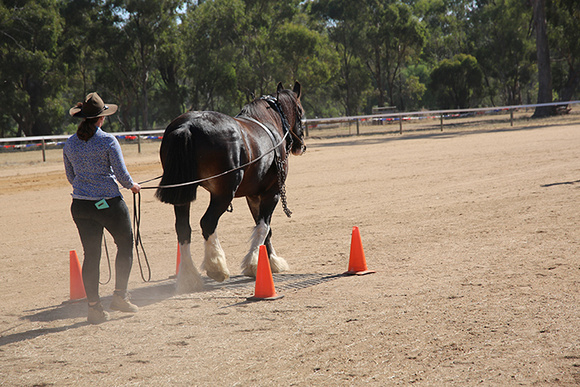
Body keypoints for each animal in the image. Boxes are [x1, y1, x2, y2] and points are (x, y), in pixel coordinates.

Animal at [154, 82, 308, 294]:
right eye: (300, 110)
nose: (301, 145)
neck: (269, 122)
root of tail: (187, 126)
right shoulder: (272, 193)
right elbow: (263, 227)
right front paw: (254, 264)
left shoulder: (253, 196)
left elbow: (263, 228)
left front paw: (270, 261)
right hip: (223, 193)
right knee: (208, 223)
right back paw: (216, 267)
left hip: (183, 193)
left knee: (183, 228)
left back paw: (188, 276)